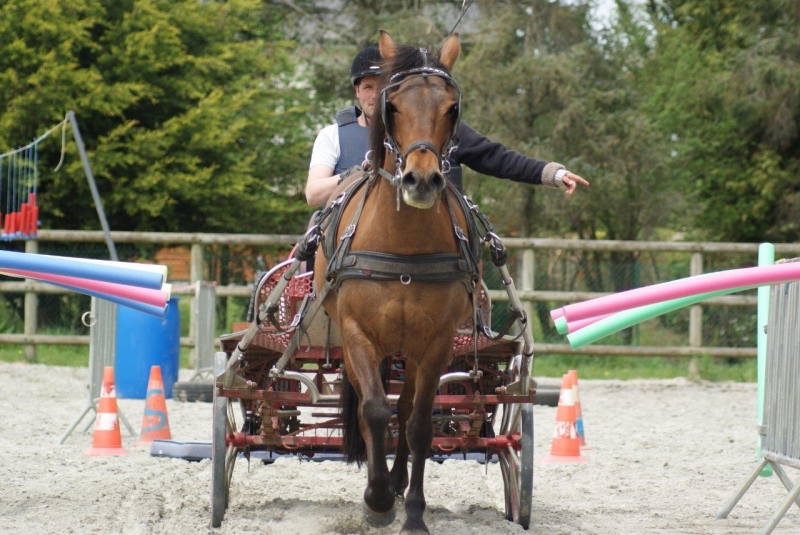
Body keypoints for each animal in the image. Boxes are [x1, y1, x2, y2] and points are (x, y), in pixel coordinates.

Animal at [314, 31, 482, 532]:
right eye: (393, 105)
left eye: (452, 108)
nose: (421, 180)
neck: (403, 247)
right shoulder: (357, 333)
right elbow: (373, 410)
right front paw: (378, 499)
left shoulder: (437, 340)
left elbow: (419, 423)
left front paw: (412, 512)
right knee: (369, 406)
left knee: (405, 409)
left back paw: (399, 477)